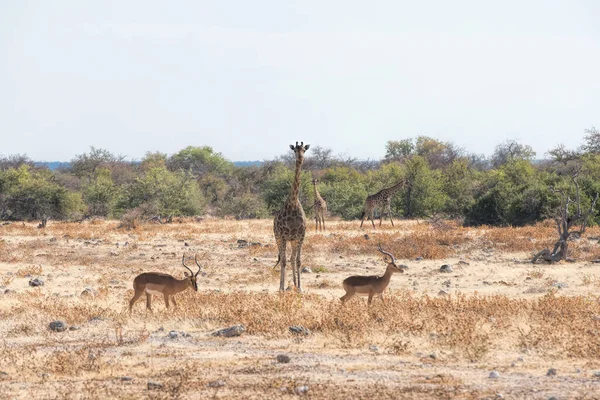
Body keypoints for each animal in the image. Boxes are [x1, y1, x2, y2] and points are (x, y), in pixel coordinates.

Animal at [272, 143, 310, 290]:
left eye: (304, 150)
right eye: (294, 150)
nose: (300, 158)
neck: (293, 203)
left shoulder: (300, 235)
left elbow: (298, 260)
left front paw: (300, 287)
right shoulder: (283, 236)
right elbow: (283, 261)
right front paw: (281, 288)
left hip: (293, 240)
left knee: (292, 258)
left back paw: (294, 284)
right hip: (278, 237)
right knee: (283, 258)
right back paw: (283, 286)